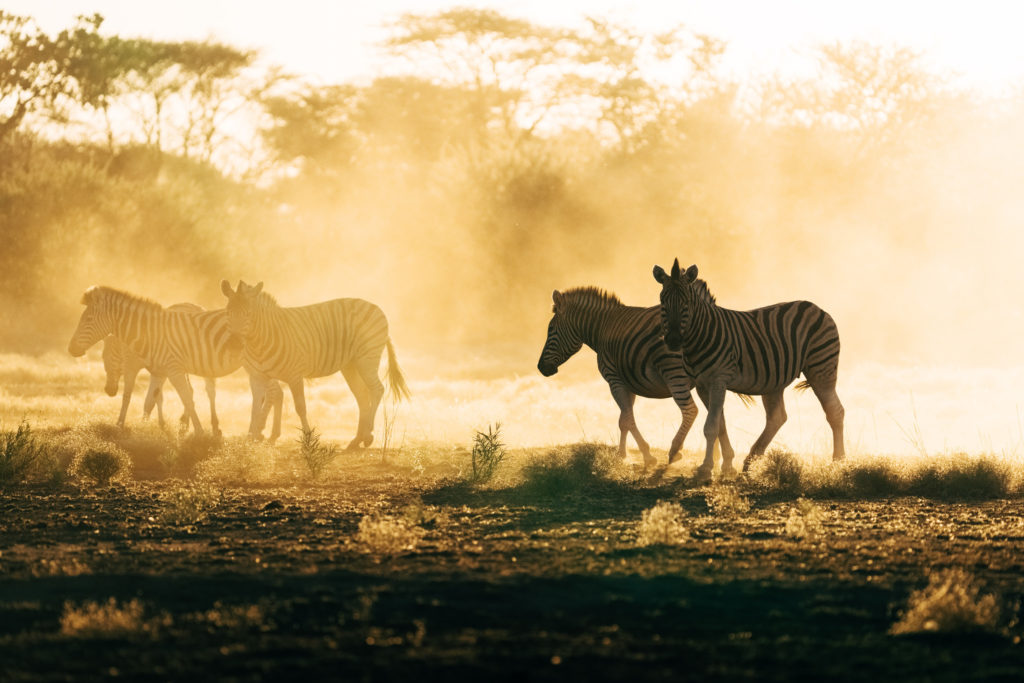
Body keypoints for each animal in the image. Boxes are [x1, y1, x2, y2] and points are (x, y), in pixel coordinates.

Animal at [69, 286, 284, 439]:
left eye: (88, 319)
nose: (71, 349)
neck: (145, 334)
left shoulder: (144, 367)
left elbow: (132, 396)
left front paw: (121, 425)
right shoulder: (160, 370)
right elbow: (152, 399)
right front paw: (146, 428)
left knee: (274, 392)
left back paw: (263, 431)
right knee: (277, 392)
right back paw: (269, 432)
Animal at [220, 280, 411, 450]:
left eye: (248, 314)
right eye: (228, 313)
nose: (234, 345)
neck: (259, 341)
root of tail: (375, 306)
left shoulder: (295, 375)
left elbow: (300, 407)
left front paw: (307, 439)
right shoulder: (257, 376)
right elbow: (254, 409)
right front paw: (249, 440)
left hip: (367, 357)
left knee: (377, 389)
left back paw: (367, 435)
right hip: (350, 365)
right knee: (363, 397)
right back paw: (356, 440)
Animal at [537, 285, 742, 467]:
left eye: (551, 329)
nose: (540, 368)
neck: (603, 329)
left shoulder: (614, 380)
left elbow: (628, 419)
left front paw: (647, 455)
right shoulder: (629, 383)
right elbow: (623, 420)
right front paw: (621, 454)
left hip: (674, 373)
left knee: (691, 410)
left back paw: (676, 451)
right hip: (704, 379)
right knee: (718, 413)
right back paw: (722, 459)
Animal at [653, 259, 845, 479]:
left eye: (687, 303)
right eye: (662, 302)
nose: (673, 341)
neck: (701, 335)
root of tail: (816, 307)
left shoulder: (718, 379)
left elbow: (711, 427)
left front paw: (706, 468)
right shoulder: (702, 385)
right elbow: (720, 424)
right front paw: (727, 465)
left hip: (821, 367)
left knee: (835, 411)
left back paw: (838, 462)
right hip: (774, 379)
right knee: (777, 417)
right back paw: (750, 461)